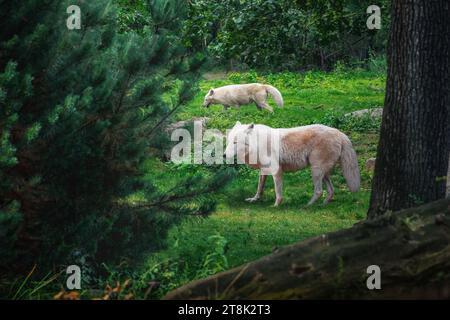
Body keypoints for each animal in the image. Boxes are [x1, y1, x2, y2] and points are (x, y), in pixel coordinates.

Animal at [225, 121, 362, 206]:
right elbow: (260, 187)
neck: (257, 143)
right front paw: (254, 199)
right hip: (323, 173)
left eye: (235, 142)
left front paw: (276, 205)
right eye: (229, 141)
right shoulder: (263, 170)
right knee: (331, 191)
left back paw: (307, 205)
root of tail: (341, 133)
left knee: (319, 191)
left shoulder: (276, 170)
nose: (224, 155)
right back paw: (322, 205)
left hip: (315, 170)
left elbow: (278, 191)